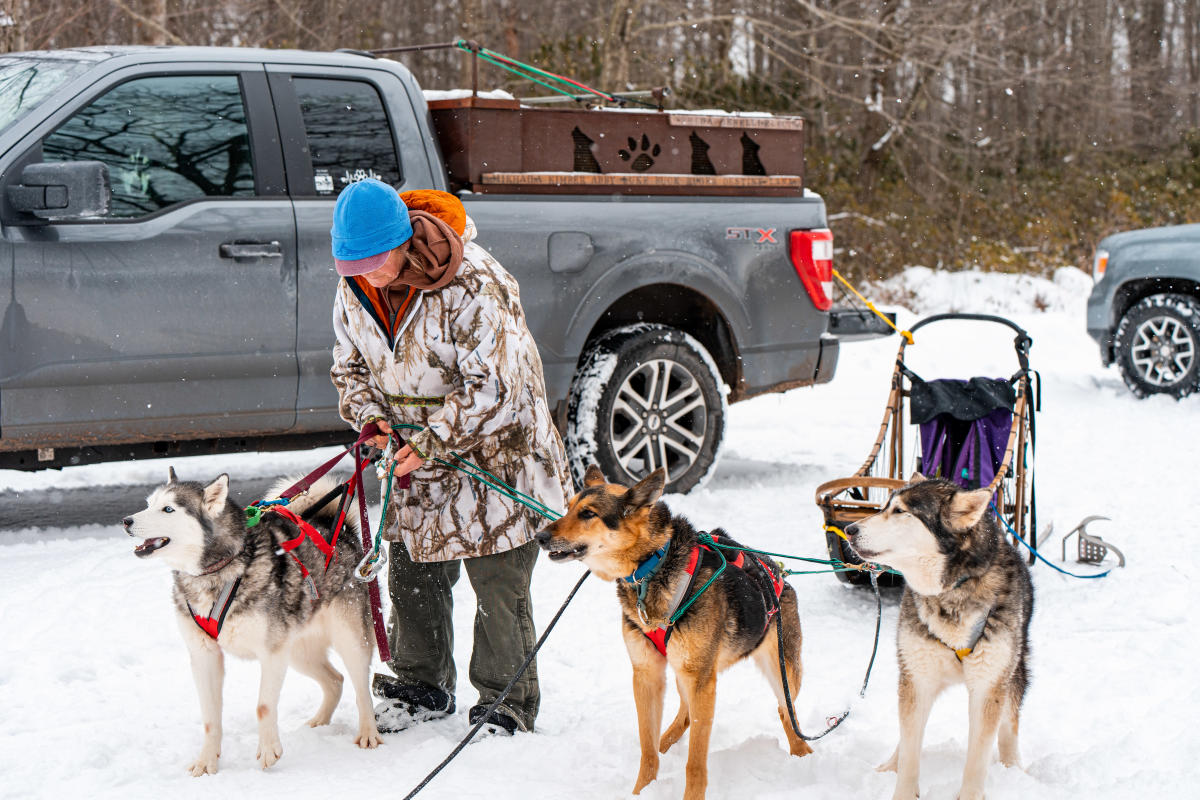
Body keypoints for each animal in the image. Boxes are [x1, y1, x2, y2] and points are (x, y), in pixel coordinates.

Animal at [537, 465, 811, 796]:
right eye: (569, 509)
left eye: (588, 513)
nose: (539, 536)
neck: (651, 568)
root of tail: (777, 570)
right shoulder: (647, 674)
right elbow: (647, 748)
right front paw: (641, 791)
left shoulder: (701, 681)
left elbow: (695, 763)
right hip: (685, 672)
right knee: (686, 716)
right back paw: (666, 742)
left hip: (779, 670)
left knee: (787, 712)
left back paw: (803, 757)